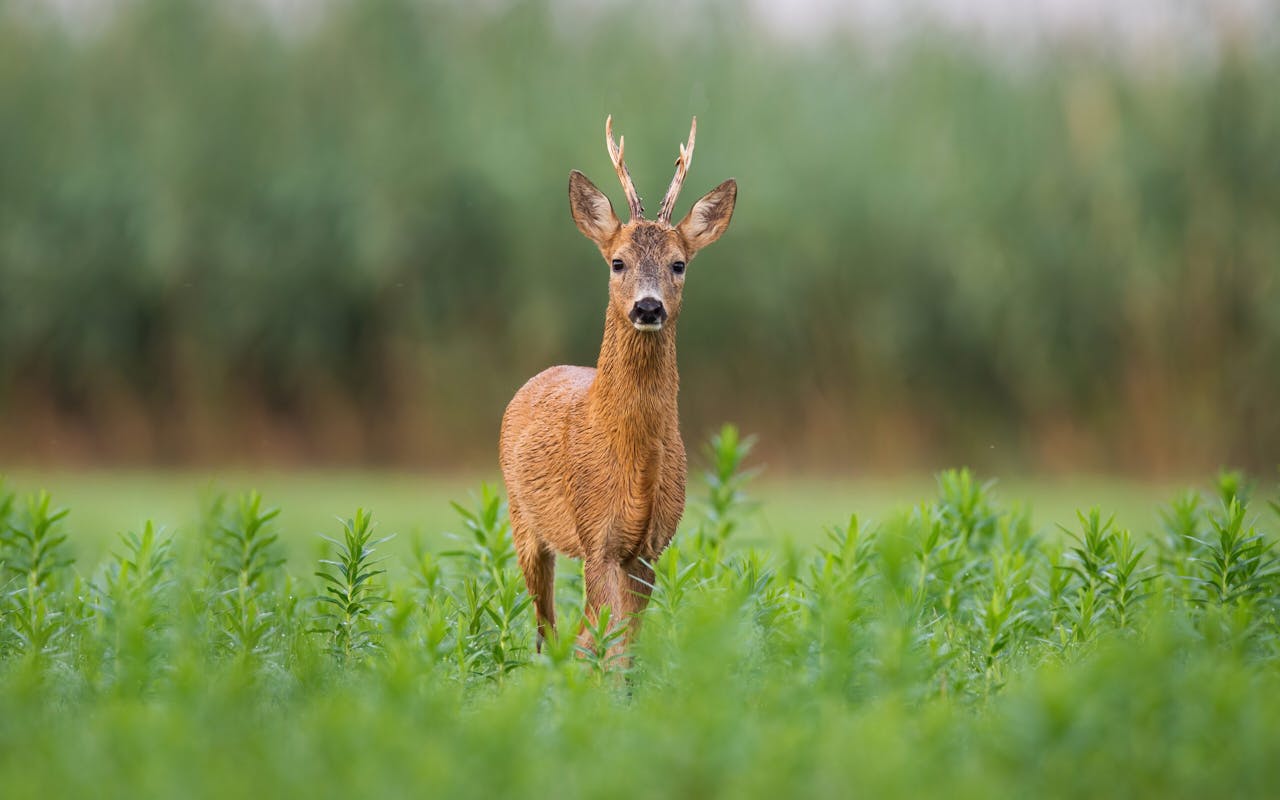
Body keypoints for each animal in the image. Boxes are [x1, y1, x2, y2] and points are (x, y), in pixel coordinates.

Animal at [499, 118, 742, 655]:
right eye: (617, 261)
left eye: (679, 263)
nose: (648, 307)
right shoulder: (596, 537)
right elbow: (606, 643)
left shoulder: (651, 546)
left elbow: (626, 645)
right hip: (523, 521)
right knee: (546, 625)